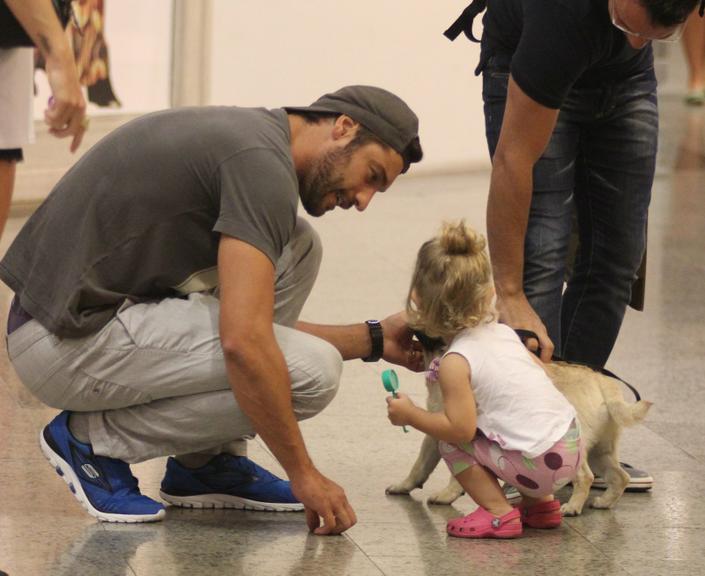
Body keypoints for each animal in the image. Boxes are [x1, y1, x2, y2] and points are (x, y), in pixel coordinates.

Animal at [384, 352, 656, 516]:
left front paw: (448, 494)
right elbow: (419, 467)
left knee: (586, 477)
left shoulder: (460, 434)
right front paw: (404, 486)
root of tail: (602, 384)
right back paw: (604, 502)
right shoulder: (433, 436)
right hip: (601, 452)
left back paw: (572, 507)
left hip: (575, 451)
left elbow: (454, 474)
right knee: (620, 477)